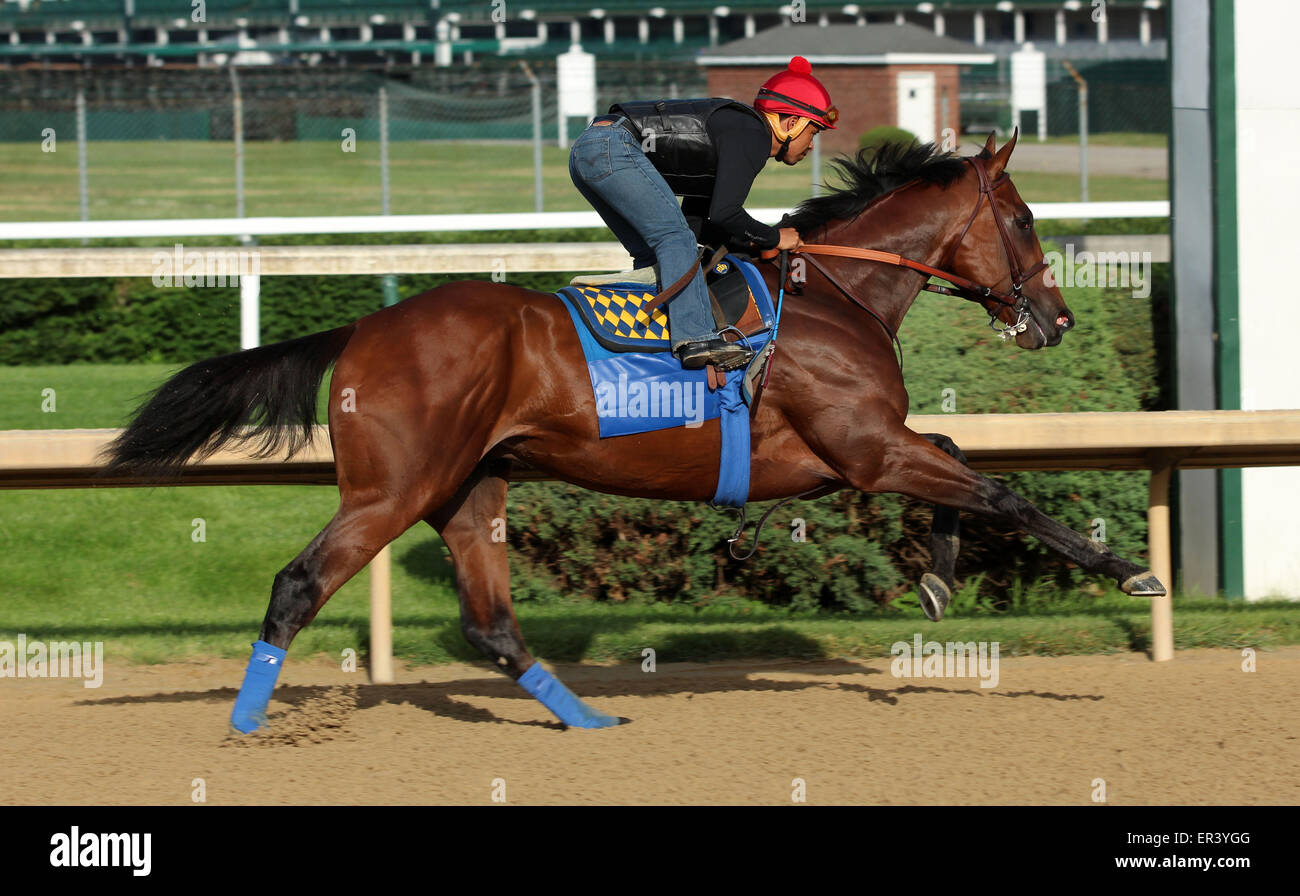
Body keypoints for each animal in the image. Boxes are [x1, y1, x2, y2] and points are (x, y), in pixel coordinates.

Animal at [98, 134, 1159, 733]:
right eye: (1023, 218)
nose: (1058, 318)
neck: (837, 293)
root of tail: (362, 328)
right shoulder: (860, 449)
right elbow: (1000, 490)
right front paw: (1129, 571)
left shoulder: (850, 456)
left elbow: (960, 466)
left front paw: (937, 579)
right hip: (391, 491)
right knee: (298, 585)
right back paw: (245, 725)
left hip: (470, 490)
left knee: (492, 623)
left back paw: (590, 722)